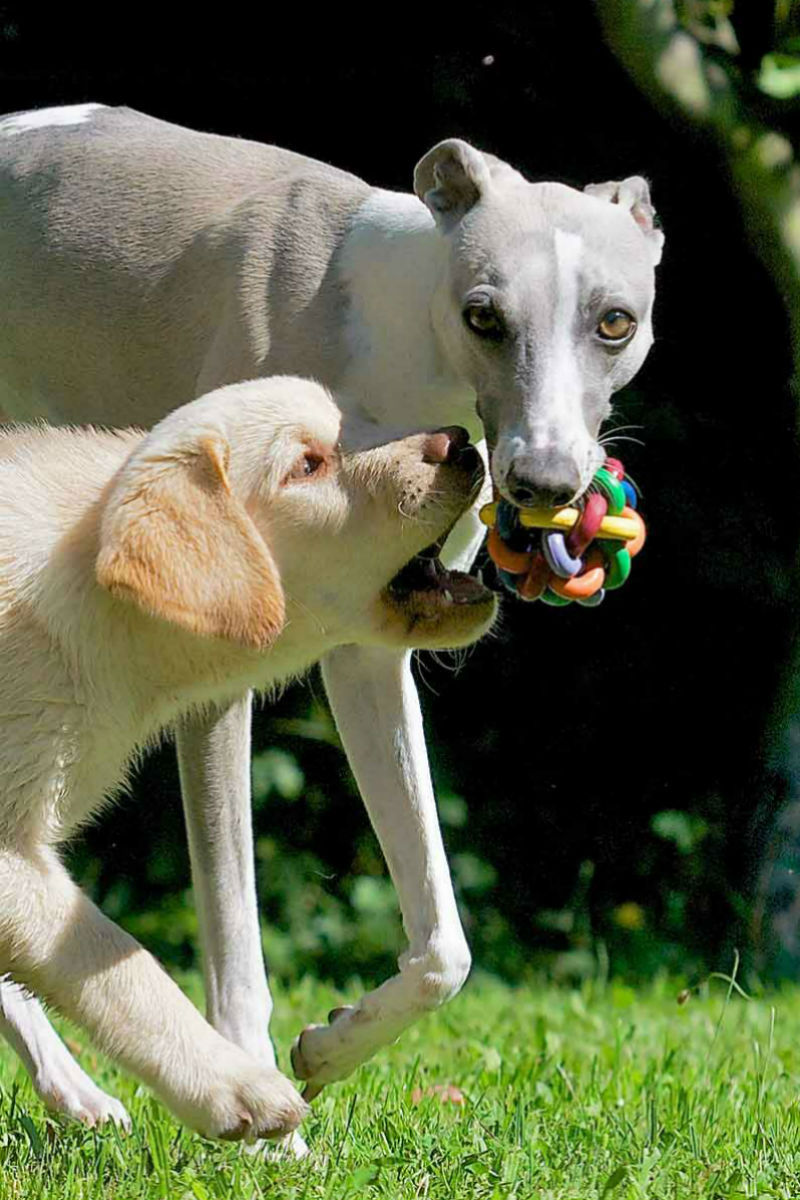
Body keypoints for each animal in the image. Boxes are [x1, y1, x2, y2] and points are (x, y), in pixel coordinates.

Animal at [0, 376, 494, 1142]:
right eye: (308, 465)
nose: (464, 442)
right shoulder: (12, 852)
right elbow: (112, 959)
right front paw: (245, 1094)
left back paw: (77, 1095)